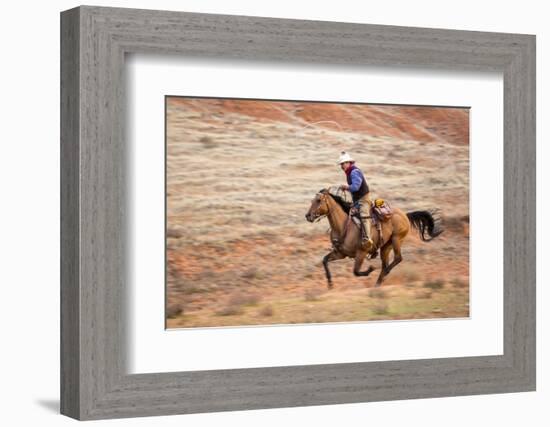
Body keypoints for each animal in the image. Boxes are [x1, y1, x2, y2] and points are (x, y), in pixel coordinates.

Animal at [306, 190, 444, 288]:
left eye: (318, 200)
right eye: (312, 200)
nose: (308, 216)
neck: (343, 225)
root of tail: (405, 214)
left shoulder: (361, 253)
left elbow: (356, 271)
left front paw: (370, 269)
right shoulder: (340, 253)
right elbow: (325, 260)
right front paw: (330, 283)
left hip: (396, 240)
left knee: (397, 259)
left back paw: (383, 275)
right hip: (385, 247)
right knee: (385, 264)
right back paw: (377, 284)